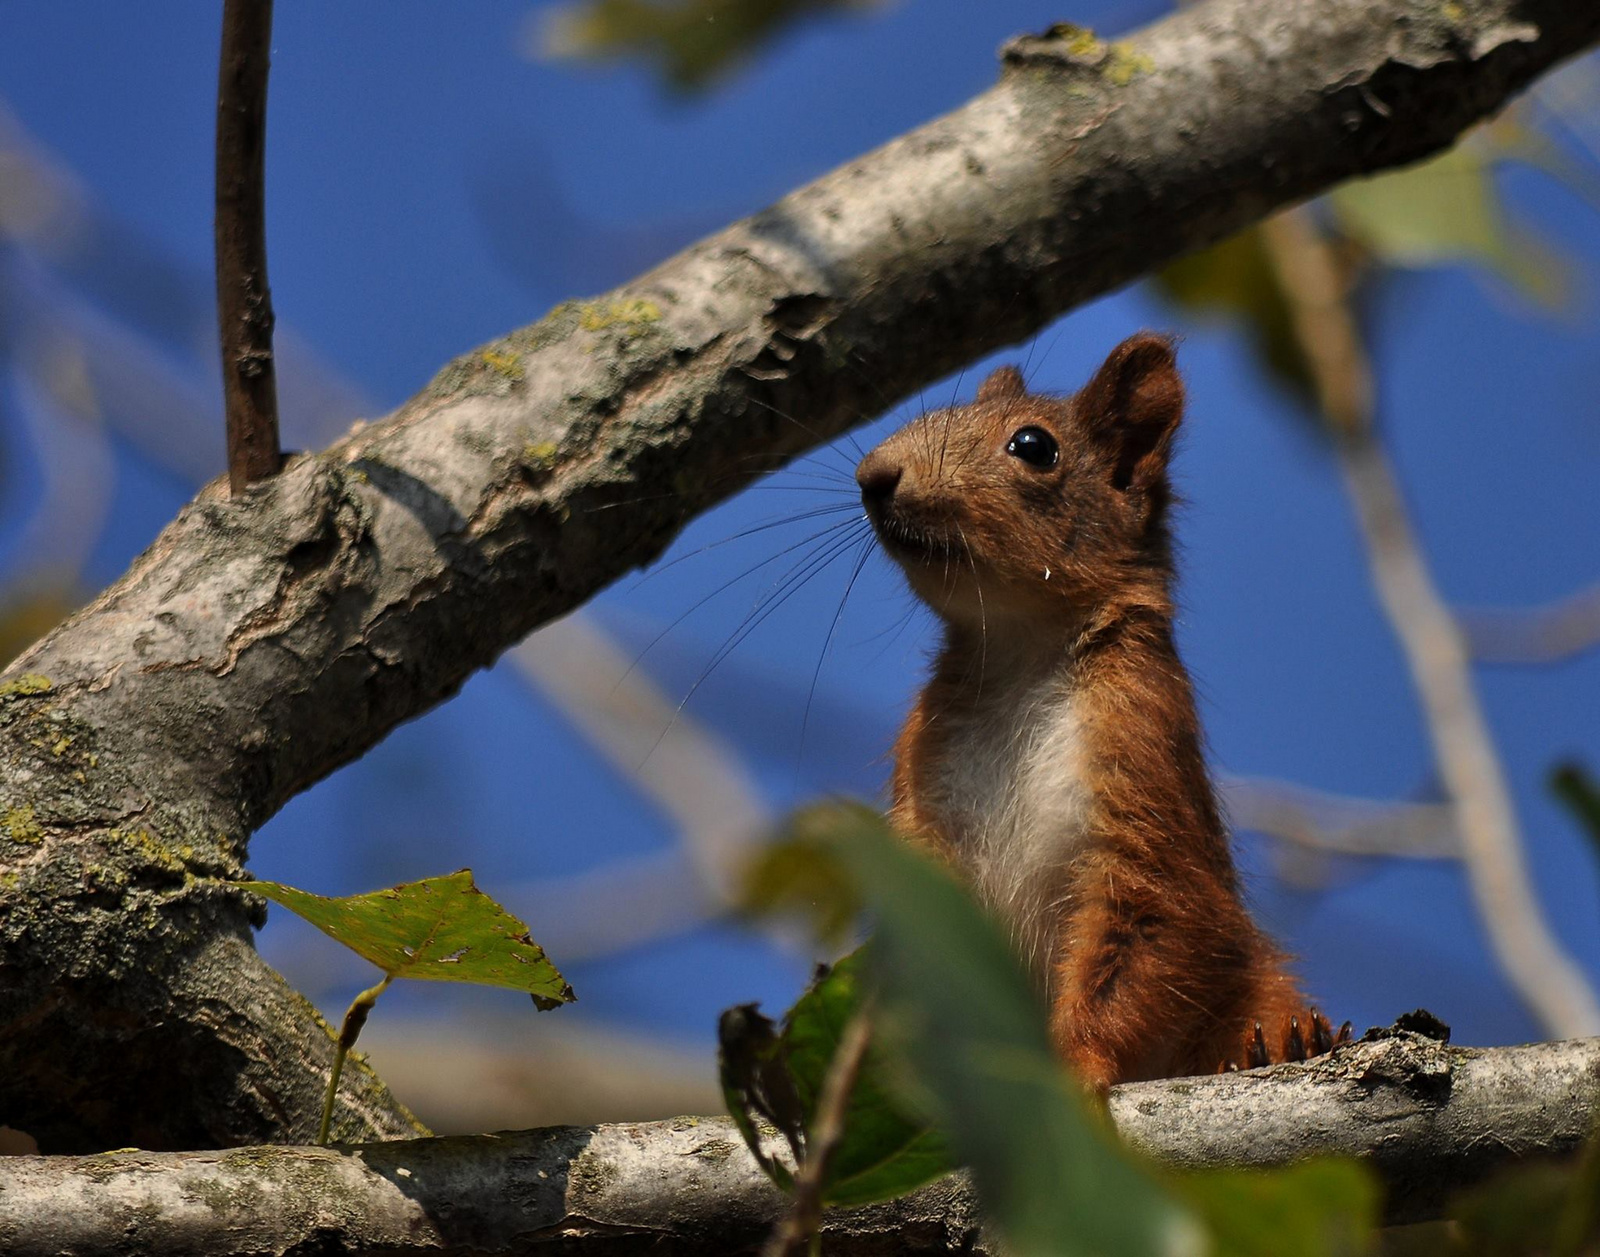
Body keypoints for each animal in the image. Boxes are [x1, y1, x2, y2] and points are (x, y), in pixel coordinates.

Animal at [857, 332, 1344, 1087]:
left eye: (1033, 446)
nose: (873, 475)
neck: (1019, 651)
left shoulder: (1142, 742)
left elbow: (1154, 920)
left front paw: (1077, 1065)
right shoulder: (921, 776)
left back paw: (1290, 1040)